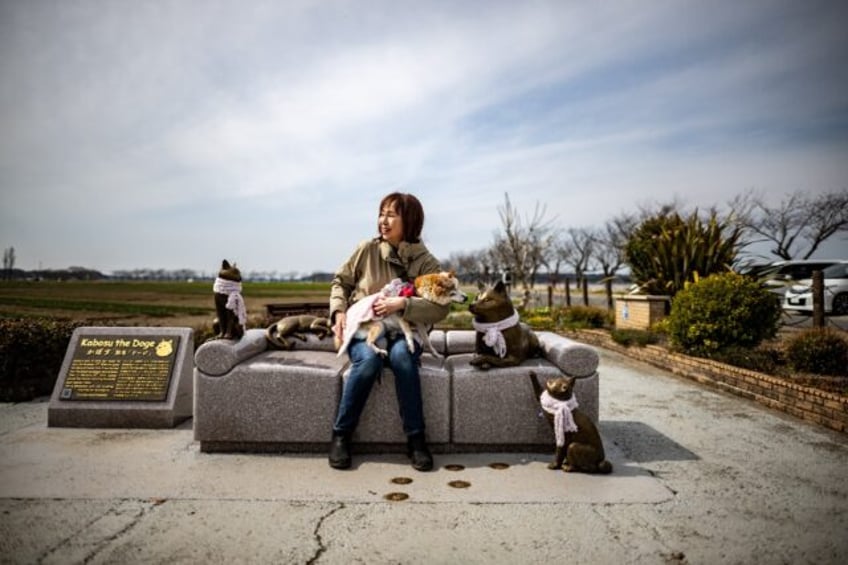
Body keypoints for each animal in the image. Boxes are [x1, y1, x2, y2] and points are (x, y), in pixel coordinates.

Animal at [338, 270, 470, 356]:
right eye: (453, 292)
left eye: (459, 288)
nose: (467, 297)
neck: (418, 293)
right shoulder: (402, 318)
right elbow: (409, 334)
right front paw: (411, 345)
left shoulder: (420, 323)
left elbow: (427, 340)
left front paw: (434, 353)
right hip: (379, 325)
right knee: (368, 342)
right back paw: (380, 351)